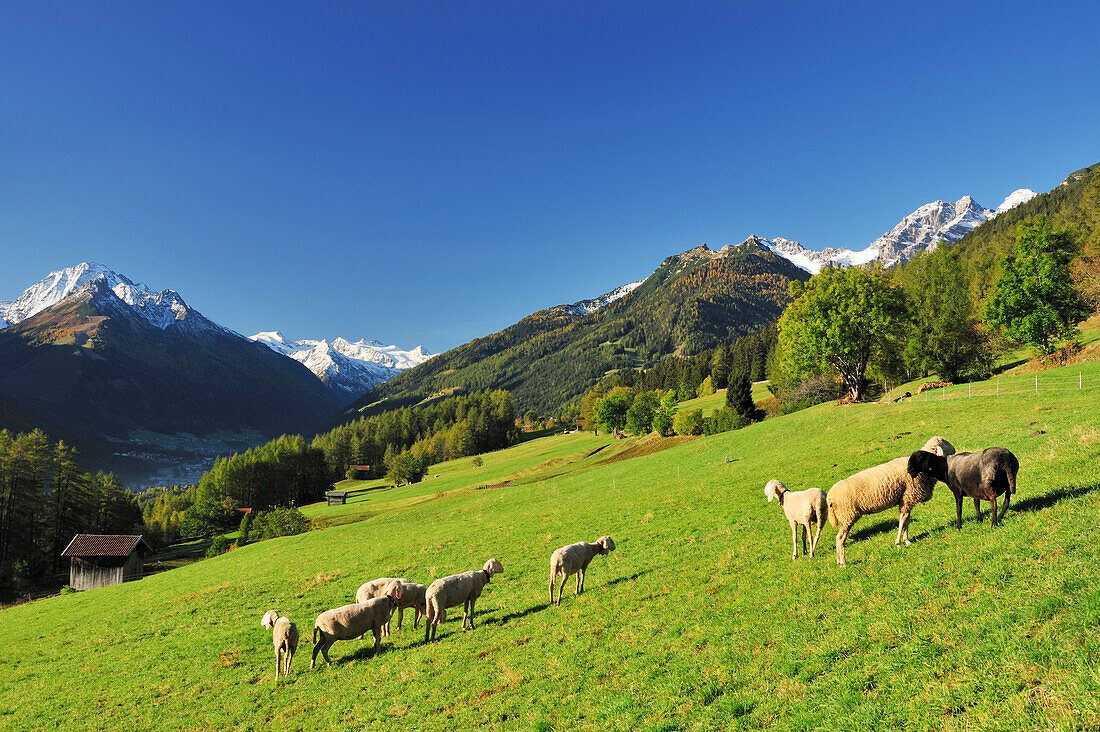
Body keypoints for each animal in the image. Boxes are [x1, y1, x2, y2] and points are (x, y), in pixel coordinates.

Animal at [827, 433, 954, 563]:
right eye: (943, 442)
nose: (954, 449)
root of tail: (830, 497)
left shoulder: (906, 500)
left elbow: (907, 520)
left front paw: (906, 540)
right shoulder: (908, 497)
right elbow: (903, 520)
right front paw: (898, 543)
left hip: (846, 516)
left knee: (838, 538)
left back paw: (839, 561)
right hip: (848, 515)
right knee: (840, 538)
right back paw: (843, 562)